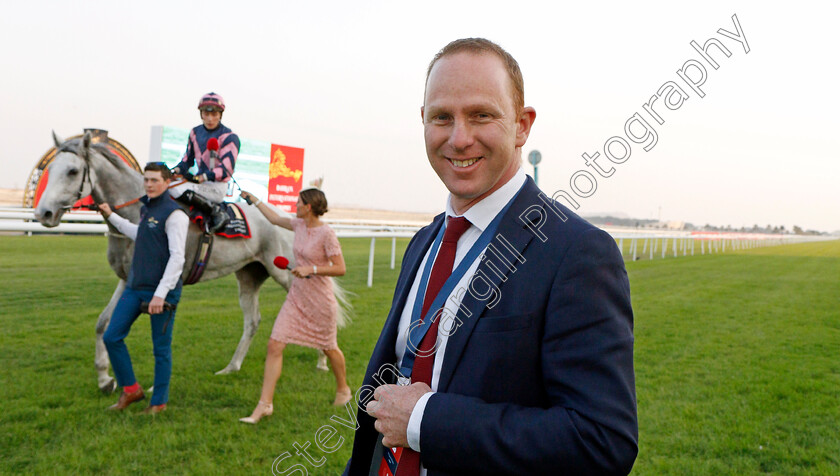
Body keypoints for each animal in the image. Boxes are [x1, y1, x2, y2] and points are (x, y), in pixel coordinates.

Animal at [34, 132, 350, 392]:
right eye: (49, 169)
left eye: (73, 170)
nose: (43, 213)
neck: (140, 212)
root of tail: (294, 217)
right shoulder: (129, 279)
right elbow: (102, 323)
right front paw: (104, 378)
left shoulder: (163, 283)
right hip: (249, 275)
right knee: (252, 320)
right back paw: (231, 367)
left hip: (286, 271)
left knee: (317, 310)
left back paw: (323, 361)